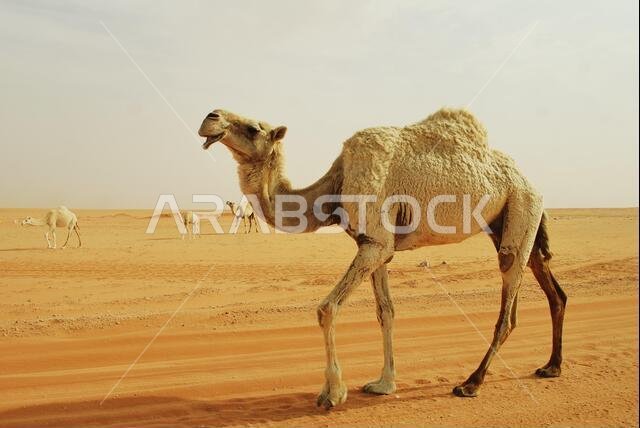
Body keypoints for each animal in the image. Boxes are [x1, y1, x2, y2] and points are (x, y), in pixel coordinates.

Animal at [198, 108, 567, 409]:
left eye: (253, 128)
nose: (211, 117)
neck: (336, 183)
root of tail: (530, 183)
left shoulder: (375, 243)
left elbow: (327, 308)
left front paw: (332, 393)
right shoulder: (375, 246)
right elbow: (385, 312)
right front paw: (383, 384)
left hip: (520, 207)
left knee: (508, 307)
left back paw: (471, 383)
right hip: (510, 220)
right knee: (552, 288)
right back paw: (551, 366)